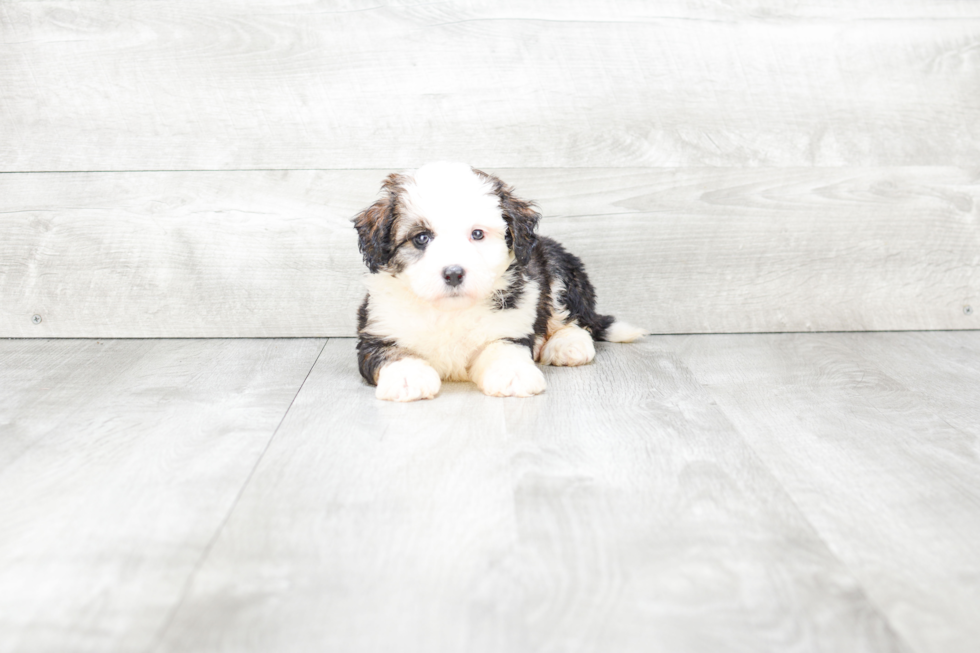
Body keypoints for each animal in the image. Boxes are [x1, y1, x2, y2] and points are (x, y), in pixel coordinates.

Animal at [352, 160, 644, 400]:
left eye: (477, 234)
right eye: (421, 238)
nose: (454, 273)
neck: (450, 312)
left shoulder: (509, 327)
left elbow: (503, 348)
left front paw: (514, 373)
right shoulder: (378, 331)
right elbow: (393, 353)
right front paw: (407, 376)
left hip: (557, 269)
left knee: (574, 321)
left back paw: (568, 345)